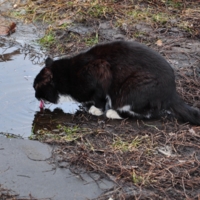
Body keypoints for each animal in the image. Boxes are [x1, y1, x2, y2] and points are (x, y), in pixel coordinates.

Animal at [33, 40, 200, 124]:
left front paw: (96, 109)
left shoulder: (100, 70)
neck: (70, 74)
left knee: (148, 114)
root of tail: (172, 92)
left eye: (36, 87)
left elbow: (99, 97)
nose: (35, 96)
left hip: (131, 88)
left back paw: (113, 112)